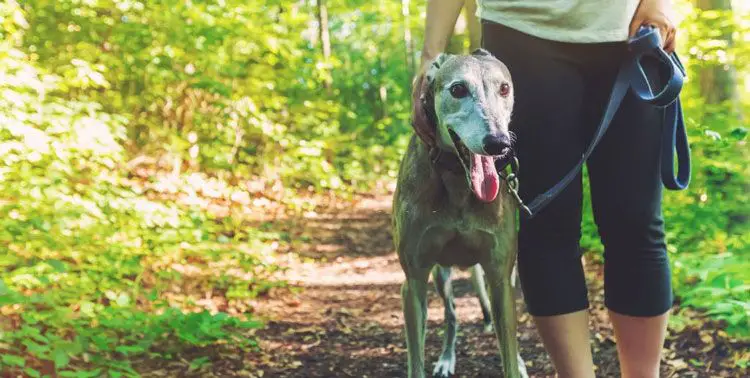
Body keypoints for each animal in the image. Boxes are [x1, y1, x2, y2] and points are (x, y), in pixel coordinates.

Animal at [394, 48, 528, 376]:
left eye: (504, 88)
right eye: (457, 89)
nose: (498, 143)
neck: (458, 181)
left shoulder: (500, 277)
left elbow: (508, 352)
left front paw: (516, 362)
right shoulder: (413, 282)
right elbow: (415, 361)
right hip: (440, 275)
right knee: (452, 315)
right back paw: (446, 358)